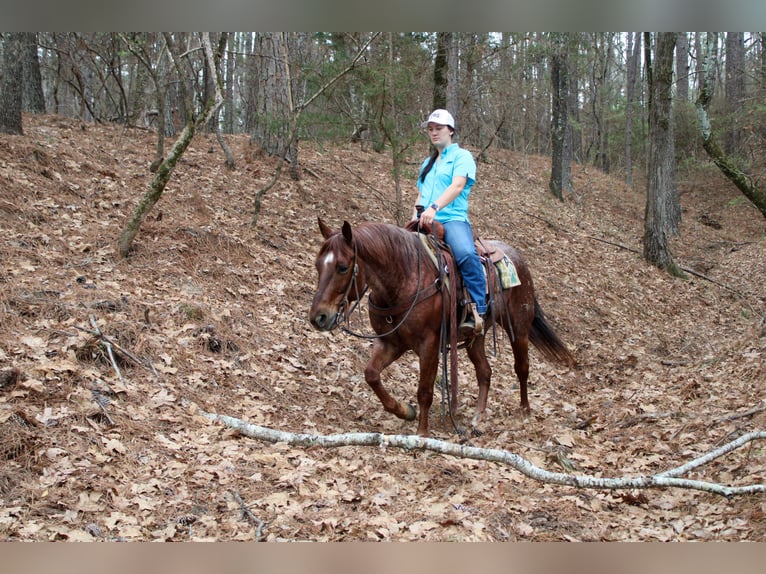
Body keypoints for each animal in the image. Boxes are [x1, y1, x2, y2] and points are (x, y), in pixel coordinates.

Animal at [309, 218, 576, 437]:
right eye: (318, 265)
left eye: (343, 267)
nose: (318, 317)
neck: (405, 278)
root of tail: (517, 258)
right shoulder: (391, 342)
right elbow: (371, 375)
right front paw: (405, 411)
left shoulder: (429, 345)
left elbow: (425, 390)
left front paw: (422, 434)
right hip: (476, 337)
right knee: (485, 371)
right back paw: (478, 416)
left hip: (518, 329)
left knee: (522, 368)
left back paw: (524, 410)